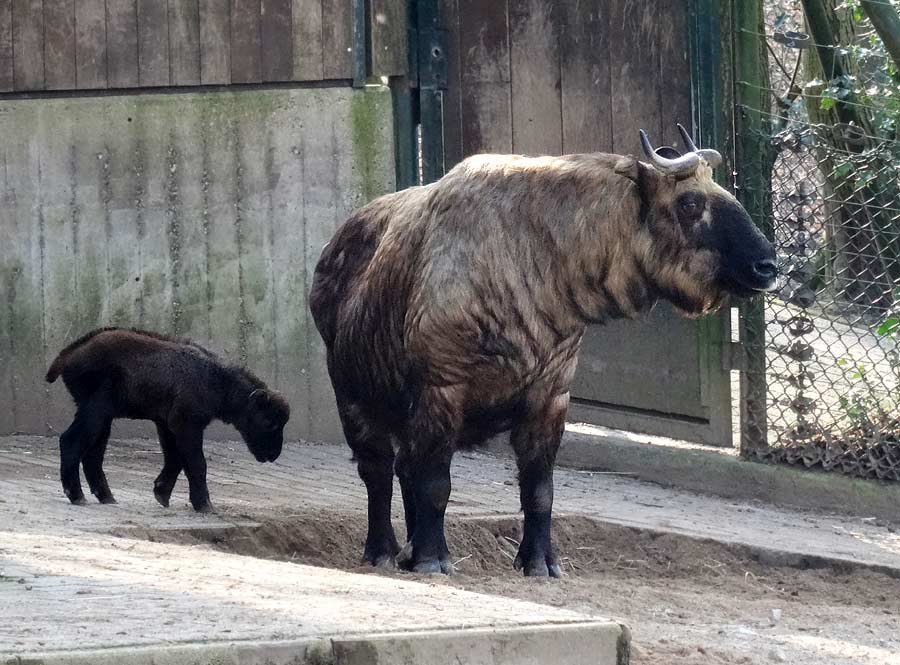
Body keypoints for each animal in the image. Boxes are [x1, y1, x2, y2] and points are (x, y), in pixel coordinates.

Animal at [45, 326, 288, 508]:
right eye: (269, 422)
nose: (273, 454)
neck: (217, 380)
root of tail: (68, 355)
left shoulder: (167, 424)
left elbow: (175, 459)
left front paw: (161, 493)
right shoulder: (185, 423)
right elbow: (196, 462)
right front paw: (204, 504)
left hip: (103, 417)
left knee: (93, 454)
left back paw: (106, 496)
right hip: (97, 410)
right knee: (71, 441)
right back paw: (76, 495)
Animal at [310, 126, 772, 576]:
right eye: (690, 203)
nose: (767, 266)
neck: (535, 257)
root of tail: (333, 250)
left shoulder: (550, 399)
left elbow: (540, 491)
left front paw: (539, 562)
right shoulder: (441, 392)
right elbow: (436, 485)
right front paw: (431, 558)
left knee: (404, 468)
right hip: (354, 403)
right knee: (379, 473)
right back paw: (384, 550)